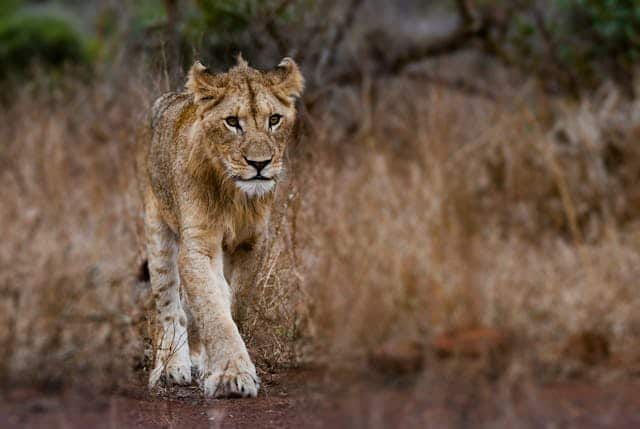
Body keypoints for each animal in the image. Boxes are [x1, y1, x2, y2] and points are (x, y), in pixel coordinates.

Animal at [137, 55, 304, 396]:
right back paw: (171, 366)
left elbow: (233, 303)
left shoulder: (253, 242)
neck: (235, 195)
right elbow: (212, 308)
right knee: (170, 307)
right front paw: (232, 374)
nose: (259, 164)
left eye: (274, 119)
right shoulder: (197, 246)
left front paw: (217, 366)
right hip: (158, 231)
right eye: (232, 122)